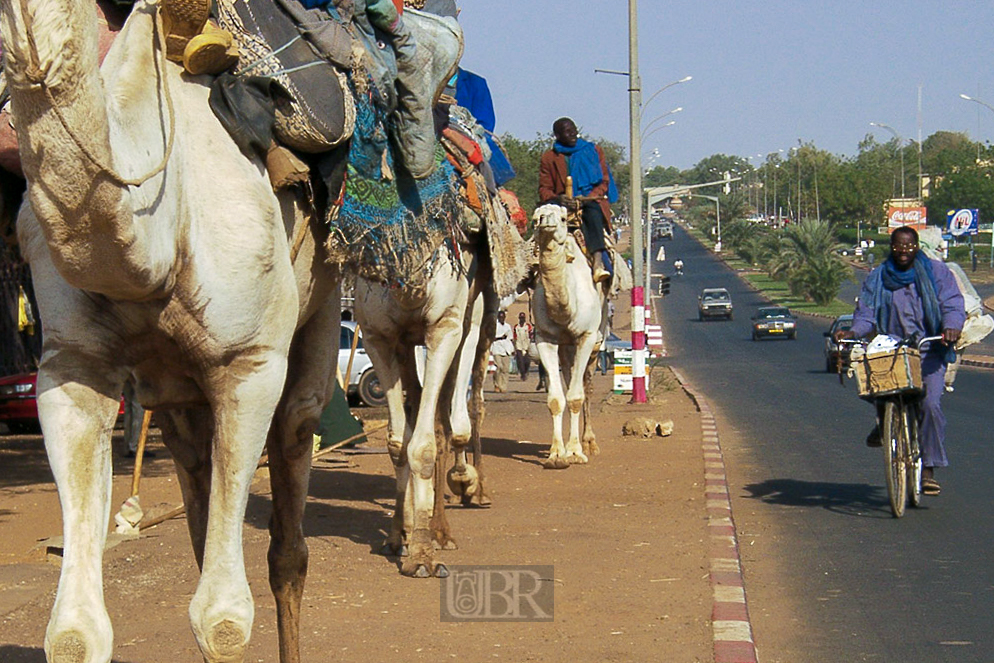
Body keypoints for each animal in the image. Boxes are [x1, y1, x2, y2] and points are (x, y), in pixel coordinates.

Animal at [1, 2, 340, 660]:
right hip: (181, 401)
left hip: (325, 301)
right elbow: (74, 632)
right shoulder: (72, 368)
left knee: (290, 519)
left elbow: (224, 617)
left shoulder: (250, 364)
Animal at [532, 205, 616, 470]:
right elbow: (556, 399)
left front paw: (576, 452)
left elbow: (577, 396)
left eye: (561, 217)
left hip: (596, 339)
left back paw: (590, 443)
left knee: (586, 385)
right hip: (566, 348)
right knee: (570, 378)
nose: (546, 221)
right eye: (535, 217)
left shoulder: (586, 336)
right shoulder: (545, 338)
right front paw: (556, 454)